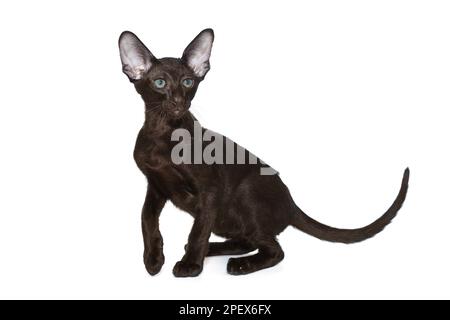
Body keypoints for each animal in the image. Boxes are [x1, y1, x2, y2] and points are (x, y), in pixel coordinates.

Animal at [118, 28, 410, 276]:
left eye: (188, 81)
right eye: (159, 83)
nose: (179, 102)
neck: (162, 133)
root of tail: (291, 203)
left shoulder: (209, 189)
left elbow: (198, 229)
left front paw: (190, 266)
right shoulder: (156, 185)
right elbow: (146, 219)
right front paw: (153, 259)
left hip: (246, 192)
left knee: (274, 248)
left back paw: (237, 264)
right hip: (228, 219)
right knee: (248, 239)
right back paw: (214, 250)